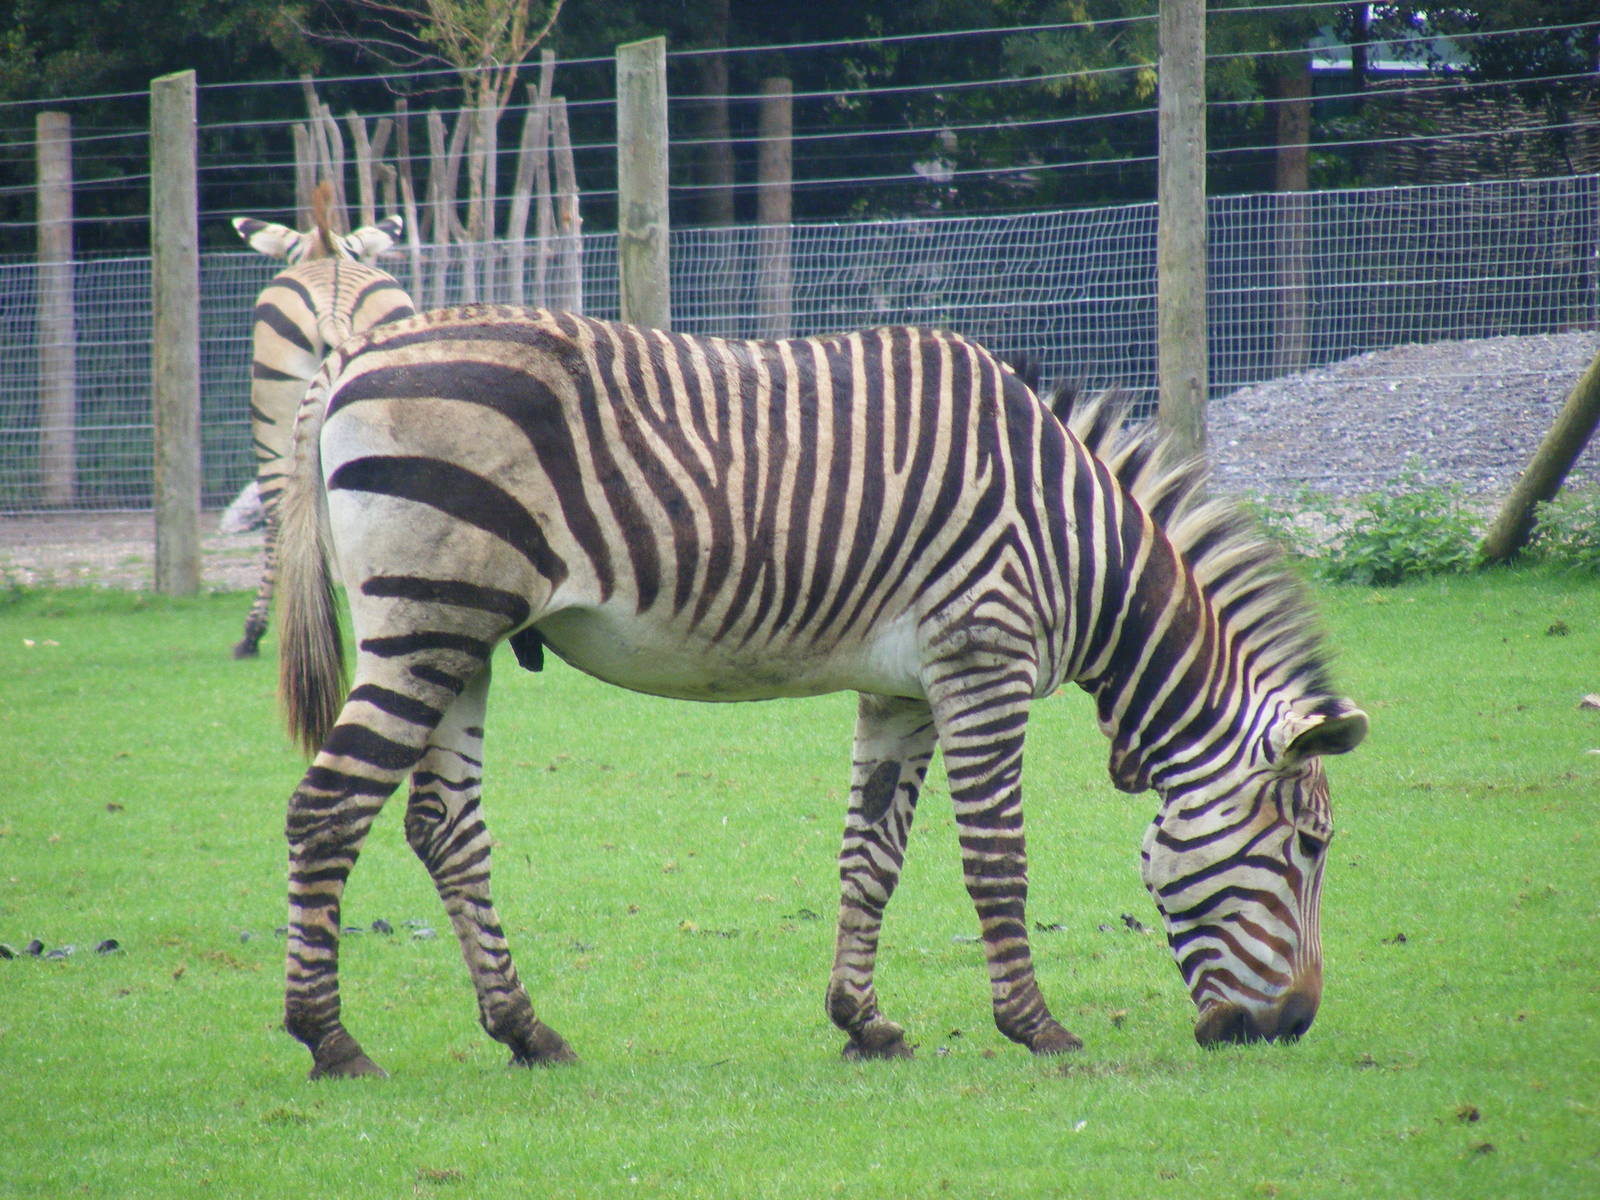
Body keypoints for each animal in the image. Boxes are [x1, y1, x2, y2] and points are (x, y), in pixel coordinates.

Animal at [272, 305, 1367, 1078]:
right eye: (1310, 848)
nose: (1293, 1026)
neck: (1079, 542)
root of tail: (356, 356)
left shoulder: (905, 690)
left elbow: (870, 856)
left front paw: (864, 1022)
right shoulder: (985, 659)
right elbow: (997, 859)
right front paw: (1036, 1027)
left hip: (464, 637)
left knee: (443, 827)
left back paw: (525, 1031)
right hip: (428, 617)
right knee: (327, 809)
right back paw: (331, 1040)